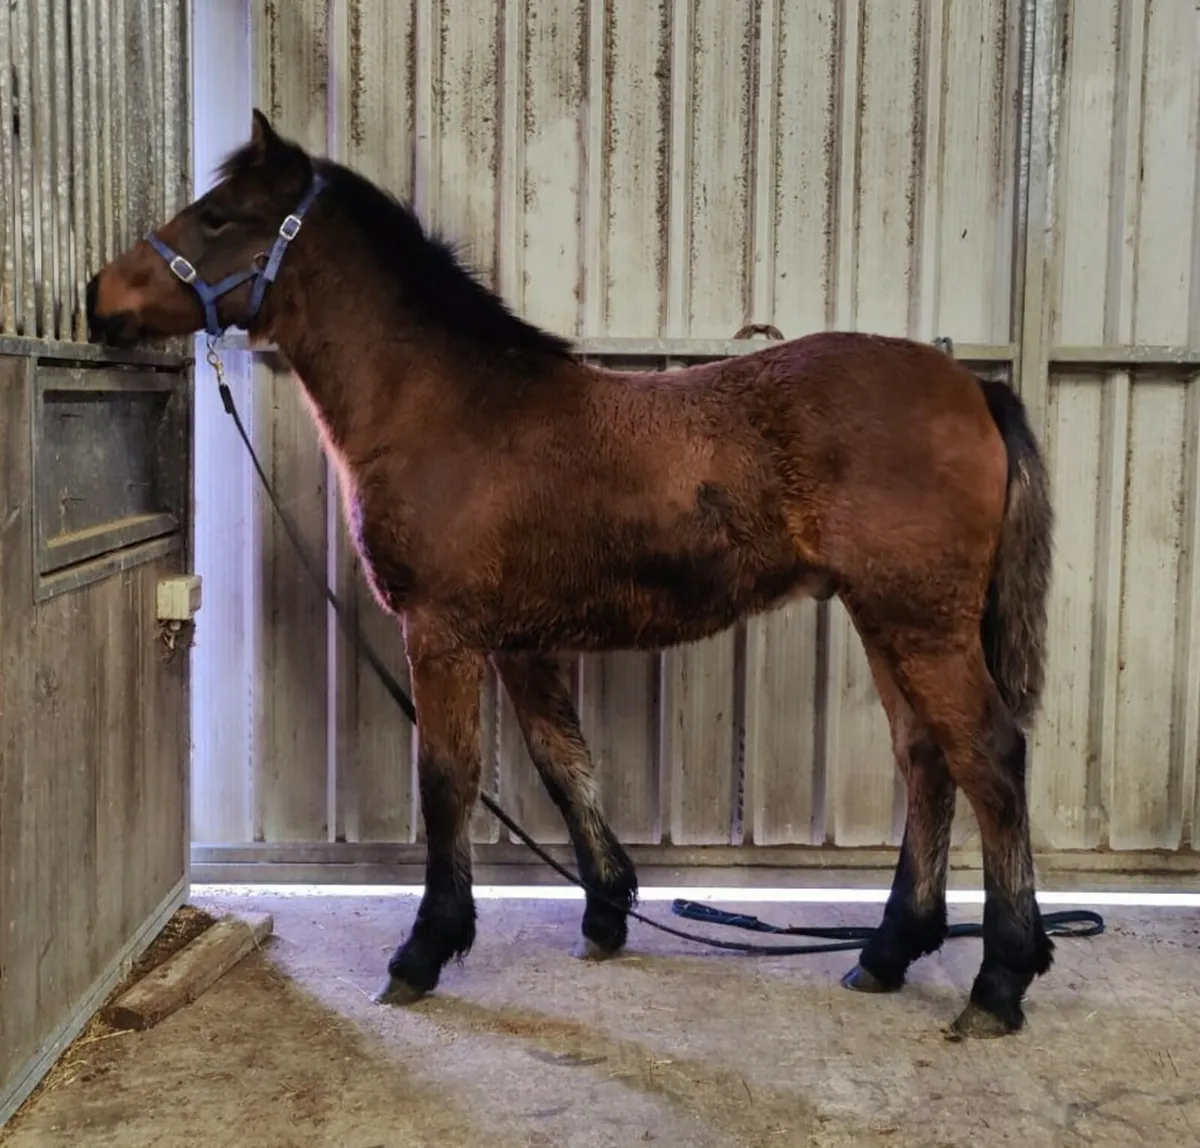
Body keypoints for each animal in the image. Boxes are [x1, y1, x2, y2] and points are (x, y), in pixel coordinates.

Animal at [86, 109, 1055, 1040]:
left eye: (219, 216)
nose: (99, 297)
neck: (452, 409)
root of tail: (973, 388)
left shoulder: (442, 632)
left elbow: (448, 778)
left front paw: (425, 950)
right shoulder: (519, 642)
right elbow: (564, 763)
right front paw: (606, 911)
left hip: (920, 622)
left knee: (989, 756)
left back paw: (1001, 977)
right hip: (885, 618)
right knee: (926, 758)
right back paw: (889, 951)